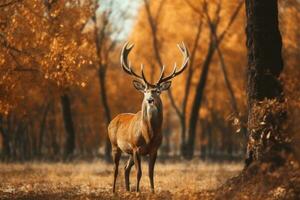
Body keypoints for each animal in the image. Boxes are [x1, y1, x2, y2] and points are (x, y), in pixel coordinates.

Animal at [107, 41, 188, 192]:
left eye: (157, 91)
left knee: (125, 168)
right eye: (145, 91)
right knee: (115, 169)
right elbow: (139, 172)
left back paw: (127, 190)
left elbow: (150, 173)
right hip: (115, 145)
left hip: (129, 152)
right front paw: (138, 191)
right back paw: (114, 191)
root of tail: (112, 120)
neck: (148, 135)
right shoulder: (136, 147)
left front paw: (152, 191)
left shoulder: (155, 149)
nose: (150, 99)